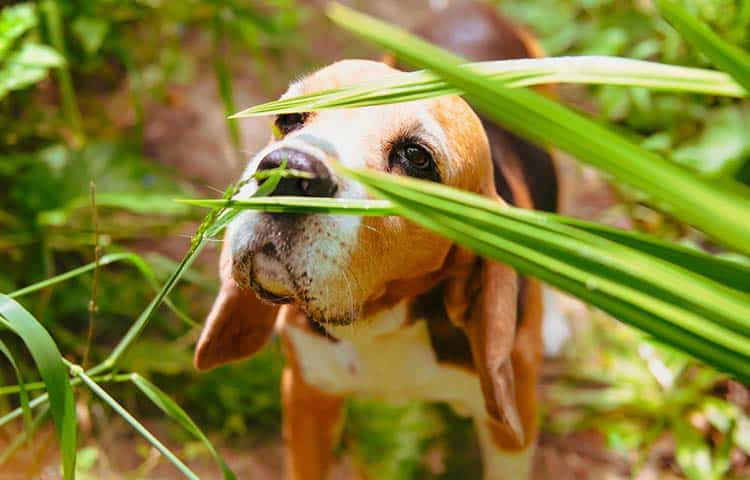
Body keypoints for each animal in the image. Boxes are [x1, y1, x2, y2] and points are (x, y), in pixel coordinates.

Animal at [194, 3, 560, 480]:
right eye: (288, 118)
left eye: (416, 158)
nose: (287, 170)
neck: (381, 318)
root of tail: (475, 11)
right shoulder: (308, 393)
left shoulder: (511, 434)